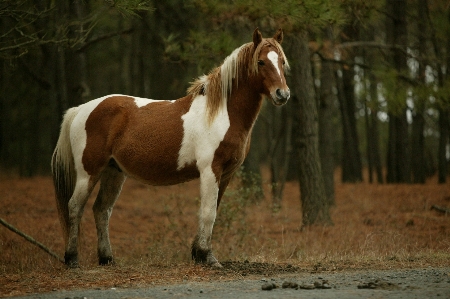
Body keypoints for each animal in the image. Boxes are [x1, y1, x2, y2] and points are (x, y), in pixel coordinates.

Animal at [51, 28, 292, 268]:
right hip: (89, 172)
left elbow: (213, 209)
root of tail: (80, 109)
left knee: (101, 209)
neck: (221, 113)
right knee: (75, 207)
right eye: (261, 62)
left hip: (114, 172)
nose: (282, 94)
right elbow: (207, 212)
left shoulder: (226, 173)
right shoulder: (210, 170)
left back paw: (107, 258)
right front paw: (206, 256)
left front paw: (199, 254)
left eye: (281, 61)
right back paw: (72, 259)